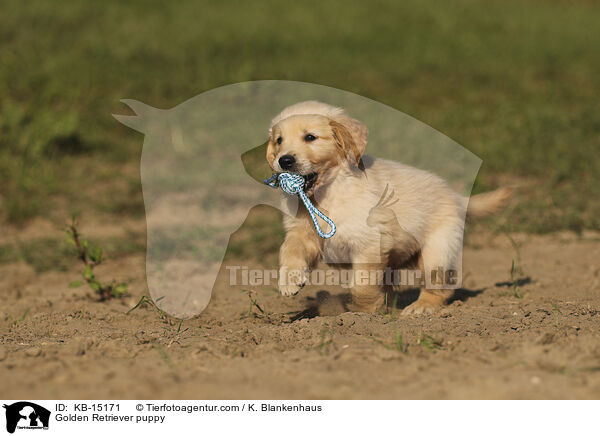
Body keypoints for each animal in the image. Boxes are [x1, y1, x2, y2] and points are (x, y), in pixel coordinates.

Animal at [268, 101, 510, 316]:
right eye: (279, 140)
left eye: (310, 137)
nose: (284, 160)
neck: (328, 191)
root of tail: (457, 197)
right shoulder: (303, 232)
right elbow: (289, 249)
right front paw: (289, 281)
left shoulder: (368, 243)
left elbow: (362, 284)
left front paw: (362, 312)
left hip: (437, 249)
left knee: (439, 286)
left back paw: (421, 307)